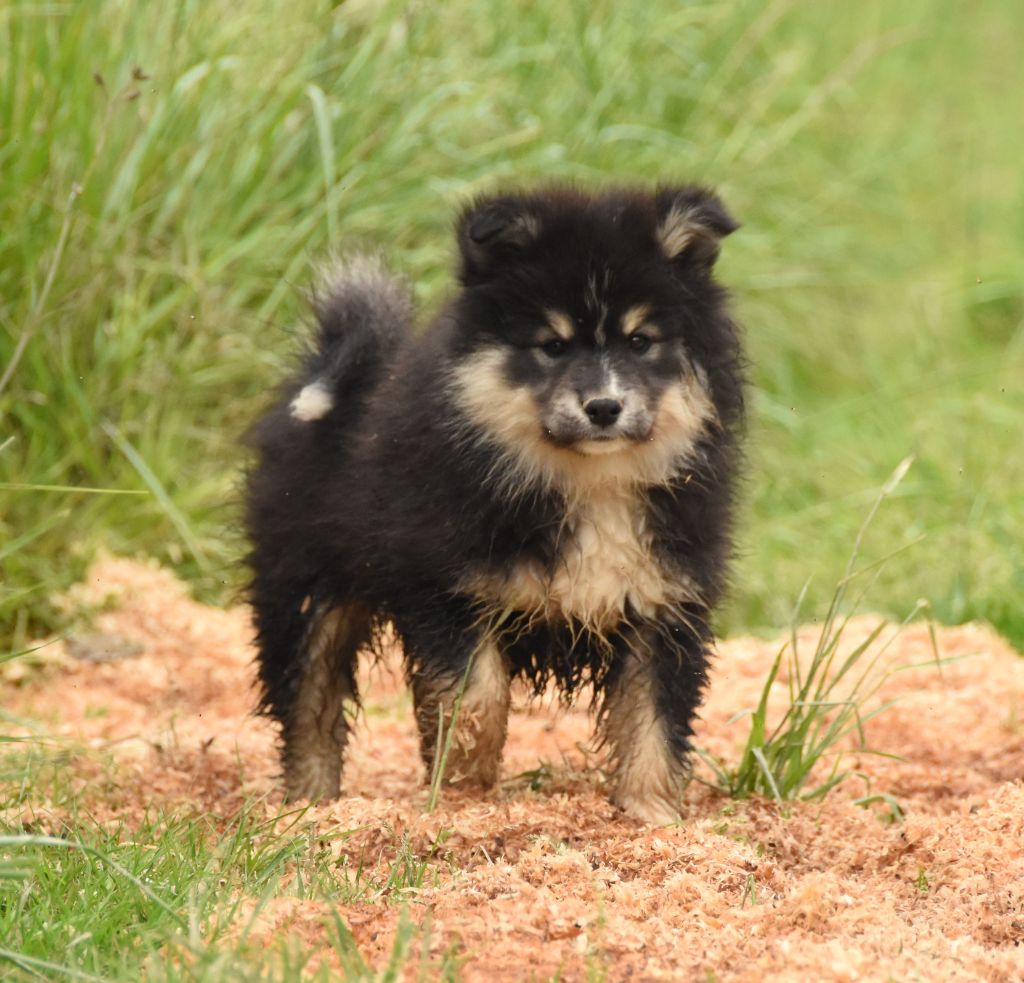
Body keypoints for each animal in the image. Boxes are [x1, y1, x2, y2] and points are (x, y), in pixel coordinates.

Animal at [245, 184, 745, 823]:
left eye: (641, 341)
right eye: (551, 346)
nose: (604, 407)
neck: (590, 483)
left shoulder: (664, 602)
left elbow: (654, 721)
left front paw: (653, 817)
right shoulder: (449, 589)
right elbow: (476, 700)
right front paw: (463, 799)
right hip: (306, 588)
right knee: (308, 700)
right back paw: (310, 809)